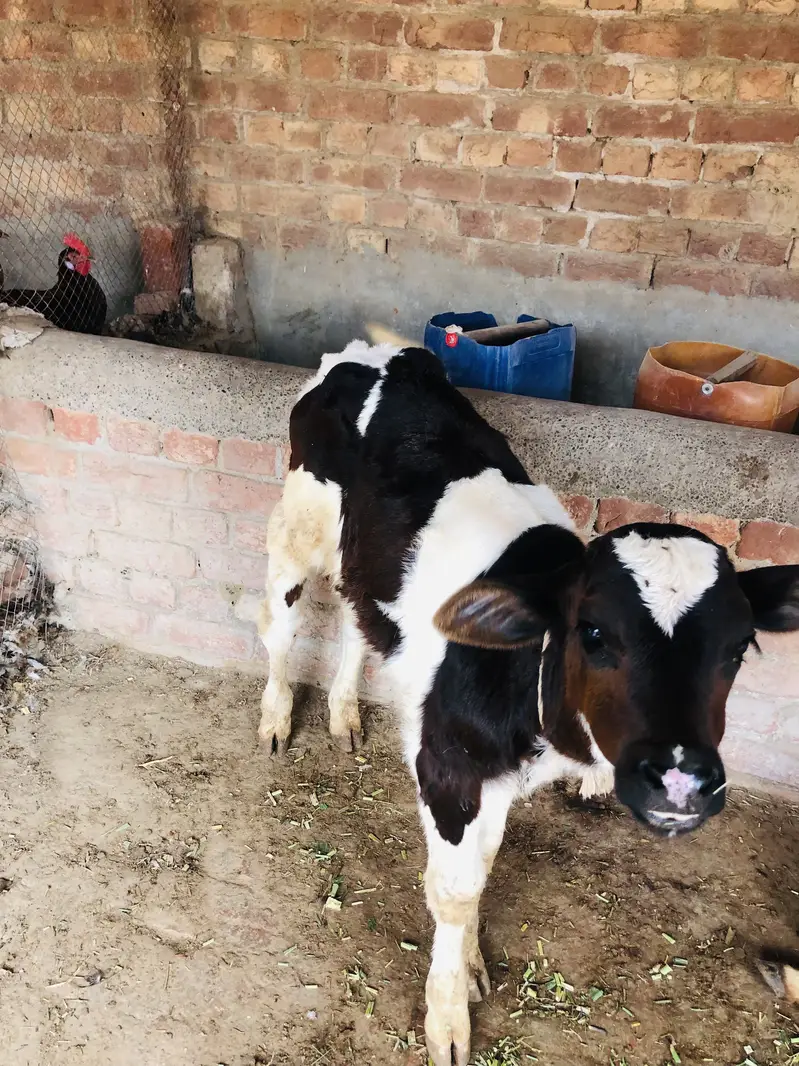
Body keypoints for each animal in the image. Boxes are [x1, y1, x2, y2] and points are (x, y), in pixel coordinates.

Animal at [257, 336, 799, 1066]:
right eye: (591, 632)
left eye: (740, 645)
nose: (680, 781)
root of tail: (369, 353)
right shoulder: (447, 767)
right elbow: (454, 889)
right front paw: (448, 1017)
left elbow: (479, 868)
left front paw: (468, 966)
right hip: (298, 523)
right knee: (282, 622)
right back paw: (276, 718)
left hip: (360, 559)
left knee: (352, 617)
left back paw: (343, 716)